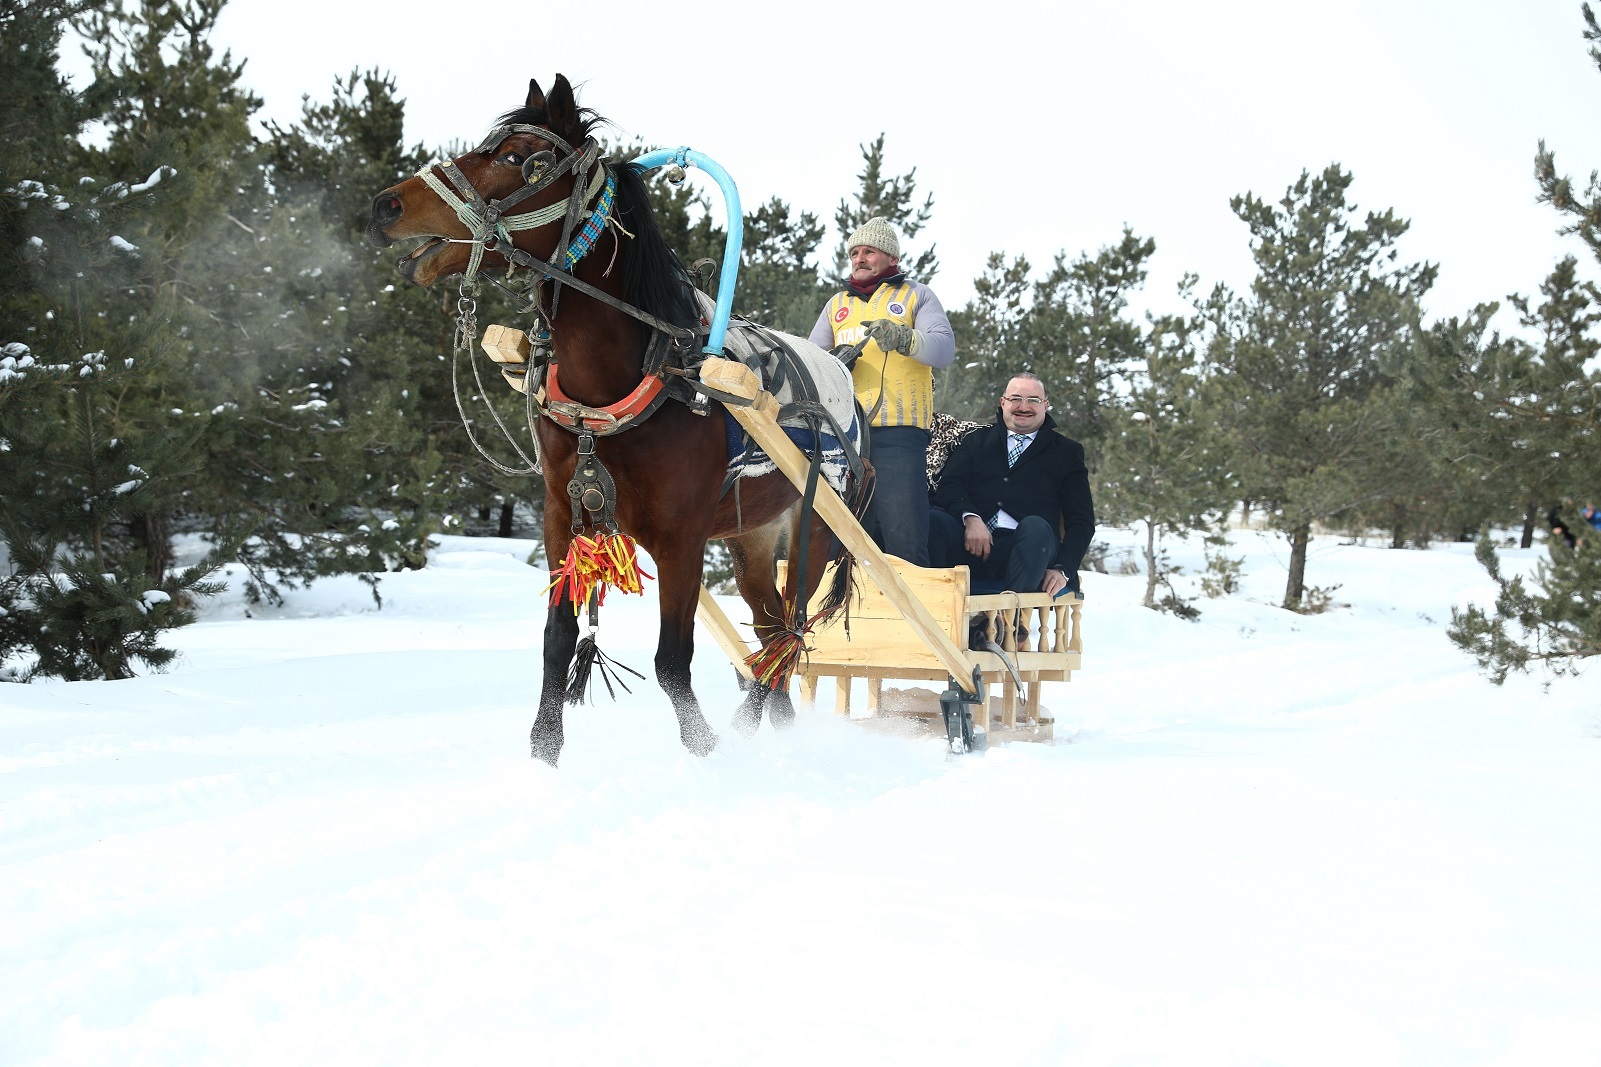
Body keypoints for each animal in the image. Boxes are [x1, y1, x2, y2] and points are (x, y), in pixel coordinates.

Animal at [366, 74, 864, 759]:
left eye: (520, 158)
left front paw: (705, 752)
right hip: (751, 538)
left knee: (787, 636)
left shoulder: (681, 538)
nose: (385, 205)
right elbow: (556, 642)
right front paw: (543, 753)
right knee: (771, 638)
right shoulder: (562, 516)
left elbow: (671, 661)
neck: (620, 384)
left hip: (813, 528)